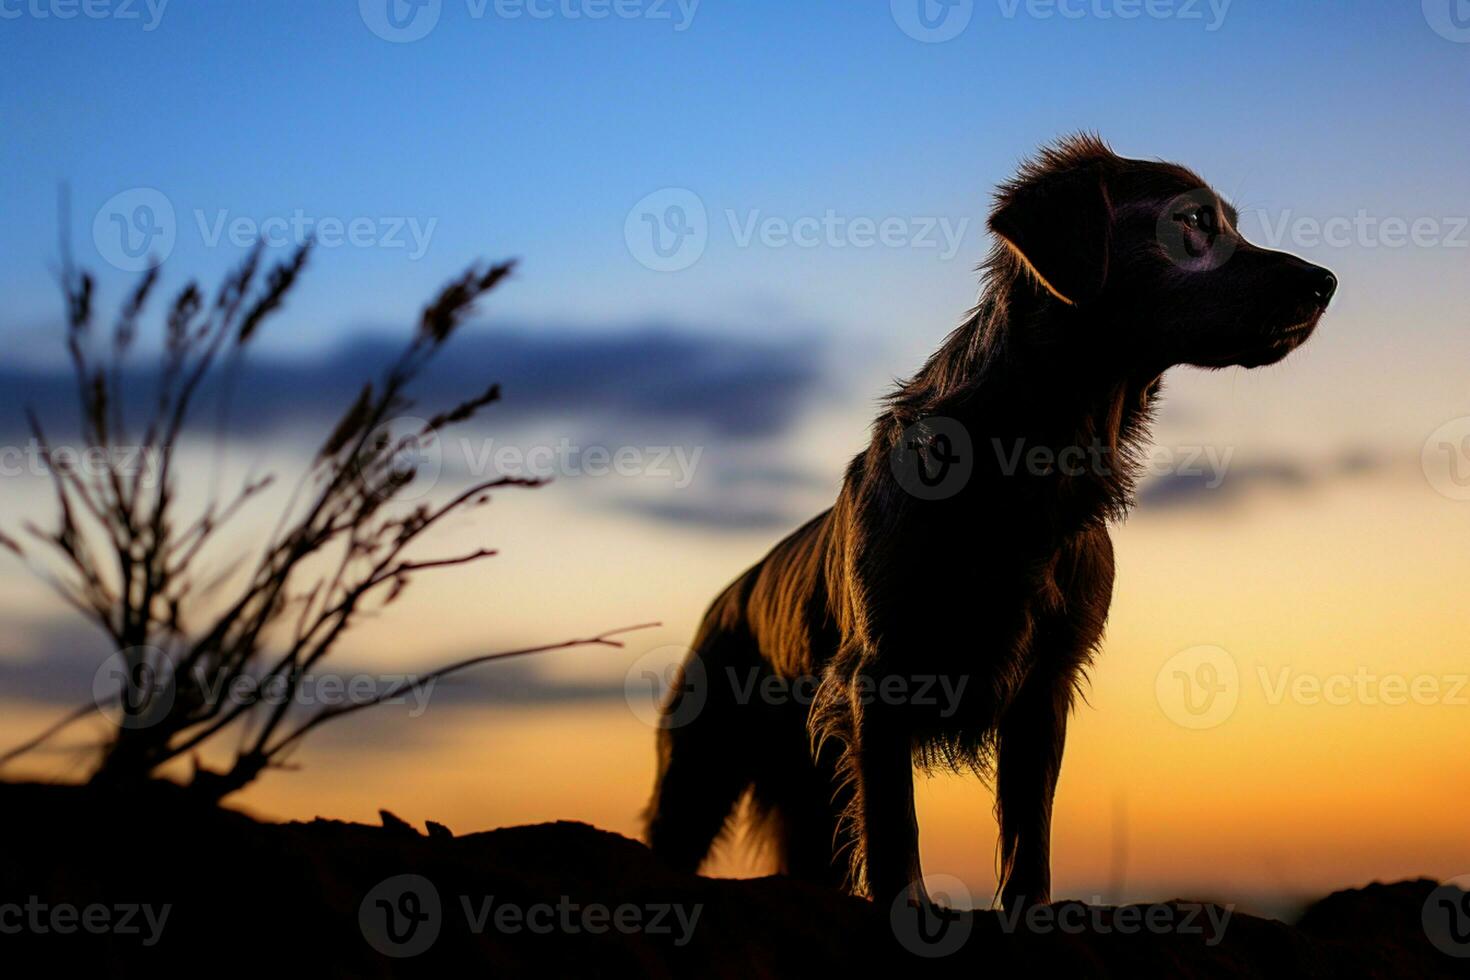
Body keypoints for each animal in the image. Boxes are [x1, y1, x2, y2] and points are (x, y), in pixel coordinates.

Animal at [643, 132, 1334, 910]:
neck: (1029, 459)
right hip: (701, 770)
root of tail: (729, 597)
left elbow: (1027, 830)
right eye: (1193, 222)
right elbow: (895, 830)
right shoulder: (877, 681)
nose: (1325, 282)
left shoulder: (1043, 684)